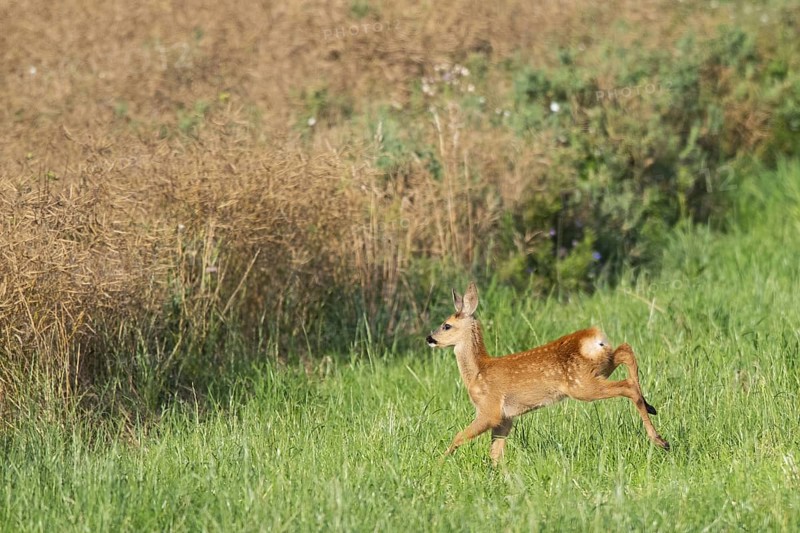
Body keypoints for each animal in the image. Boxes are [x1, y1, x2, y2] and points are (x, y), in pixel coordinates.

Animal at [426, 282, 669, 464]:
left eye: (446, 325)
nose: (429, 338)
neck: (477, 373)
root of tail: (594, 338)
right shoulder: (506, 419)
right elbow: (495, 454)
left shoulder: (490, 409)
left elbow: (458, 437)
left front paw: (438, 463)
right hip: (599, 368)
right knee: (626, 350)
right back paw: (652, 408)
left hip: (582, 386)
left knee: (627, 386)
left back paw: (660, 440)